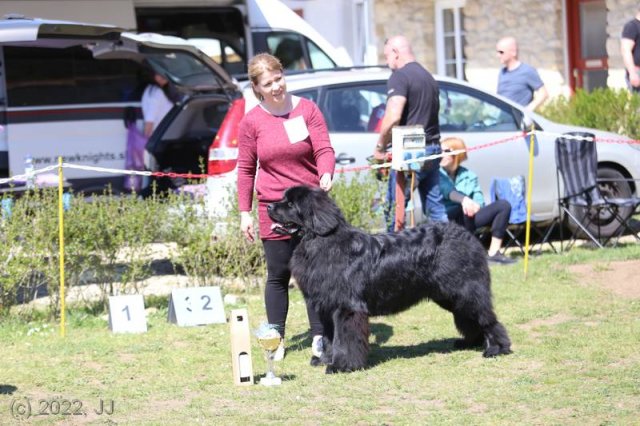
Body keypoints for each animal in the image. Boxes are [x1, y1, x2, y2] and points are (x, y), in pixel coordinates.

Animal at [268, 185, 512, 372]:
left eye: (290, 204)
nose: (268, 206)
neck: (320, 241)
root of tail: (467, 236)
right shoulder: (326, 307)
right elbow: (329, 337)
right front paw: (325, 360)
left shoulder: (346, 307)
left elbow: (344, 338)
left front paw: (342, 365)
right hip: (449, 296)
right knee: (469, 318)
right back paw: (469, 342)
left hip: (465, 290)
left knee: (487, 318)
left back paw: (497, 348)